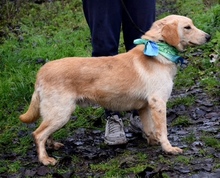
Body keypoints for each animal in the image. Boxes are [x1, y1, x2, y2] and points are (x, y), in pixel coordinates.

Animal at [19, 14, 211, 165]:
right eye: (187, 27)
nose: (209, 36)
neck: (159, 50)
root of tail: (42, 72)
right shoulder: (158, 103)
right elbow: (162, 130)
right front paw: (168, 148)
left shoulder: (145, 106)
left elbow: (150, 128)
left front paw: (152, 141)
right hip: (61, 113)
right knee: (38, 134)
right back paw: (45, 159)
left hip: (55, 114)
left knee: (45, 131)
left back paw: (52, 146)